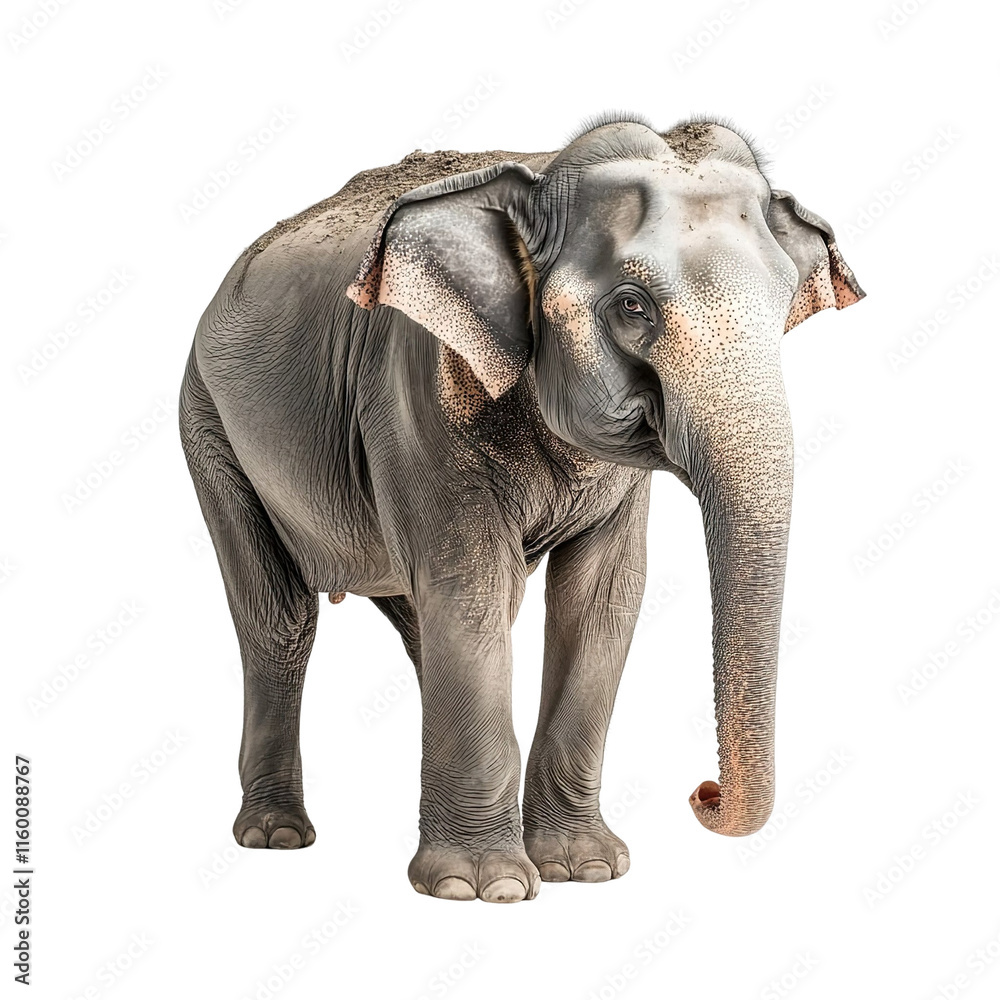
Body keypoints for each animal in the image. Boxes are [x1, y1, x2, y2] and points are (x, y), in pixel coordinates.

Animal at [179, 112, 864, 904]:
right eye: (631, 306)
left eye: (783, 303)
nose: (703, 792)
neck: (539, 173)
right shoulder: (412, 393)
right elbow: (471, 584)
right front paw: (483, 888)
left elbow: (600, 601)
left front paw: (584, 869)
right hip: (208, 427)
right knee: (282, 623)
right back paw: (278, 837)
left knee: (429, 618)